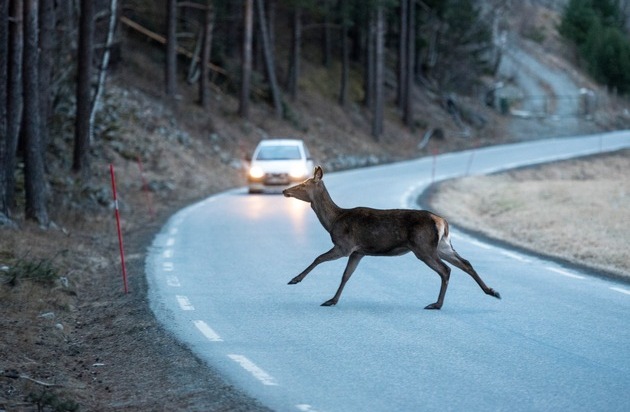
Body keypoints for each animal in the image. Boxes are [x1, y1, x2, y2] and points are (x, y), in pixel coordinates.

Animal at [284, 166, 502, 310]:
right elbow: (346, 275)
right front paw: (332, 300)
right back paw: (492, 291)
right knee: (465, 263)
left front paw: (295, 279)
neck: (333, 221)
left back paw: (437, 304)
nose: (285, 190)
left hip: (423, 246)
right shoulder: (358, 252)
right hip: (442, 245)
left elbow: (318, 258)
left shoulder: (344, 245)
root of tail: (442, 222)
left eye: (303, 185)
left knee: (445, 269)